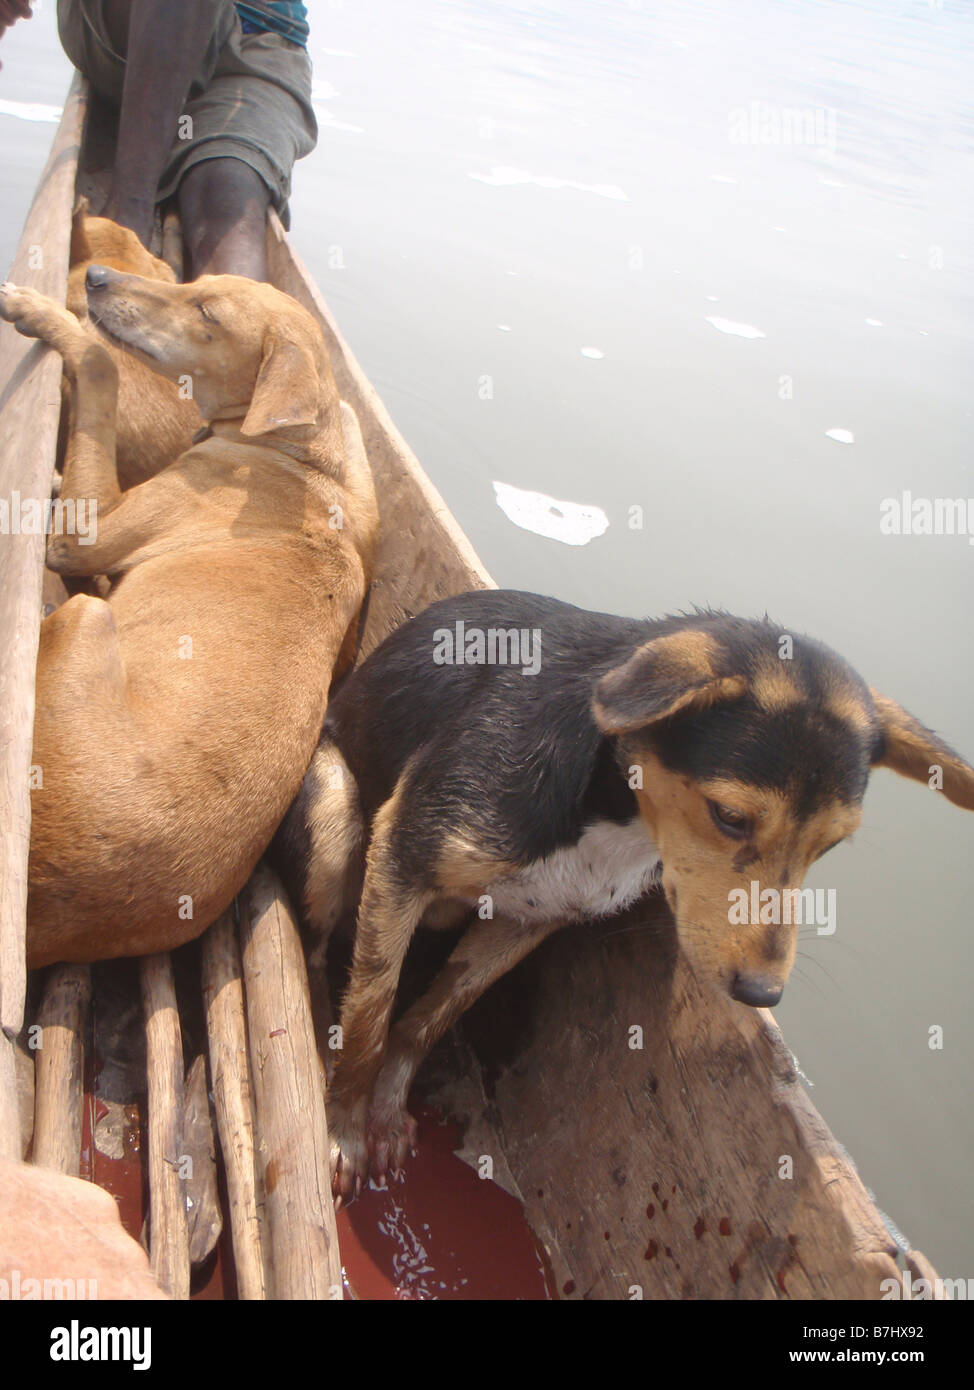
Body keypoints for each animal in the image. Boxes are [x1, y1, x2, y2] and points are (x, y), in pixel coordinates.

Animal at [0, 265, 375, 973]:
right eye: (194, 281)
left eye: (206, 311)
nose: (96, 277)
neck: (298, 457)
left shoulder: (85, 536)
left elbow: (99, 364)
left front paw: (39, 312)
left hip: (87, 618)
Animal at [272, 586, 972, 1195]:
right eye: (730, 817)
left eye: (829, 847)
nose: (762, 993)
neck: (612, 806)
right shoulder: (403, 853)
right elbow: (369, 1017)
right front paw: (345, 1128)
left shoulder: (531, 917)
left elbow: (426, 1018)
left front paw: (386, 1110)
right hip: (334, 812)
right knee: (314, 953)